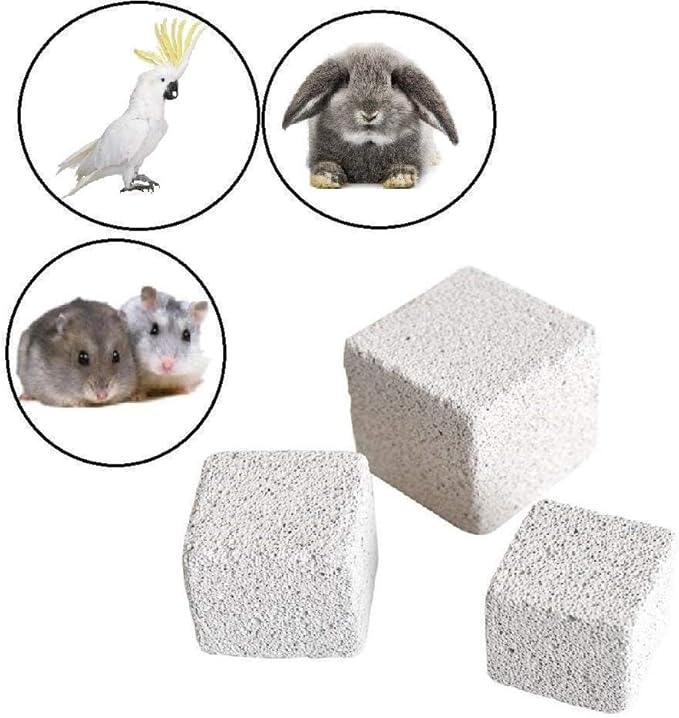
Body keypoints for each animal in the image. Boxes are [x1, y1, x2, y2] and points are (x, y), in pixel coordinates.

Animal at [282, 43, 459, 189]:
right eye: (346, 81)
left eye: (393, 82)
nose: (369, 114)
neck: (368, 143)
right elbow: (324, 165)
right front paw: (327, 177)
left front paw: (400, 177)